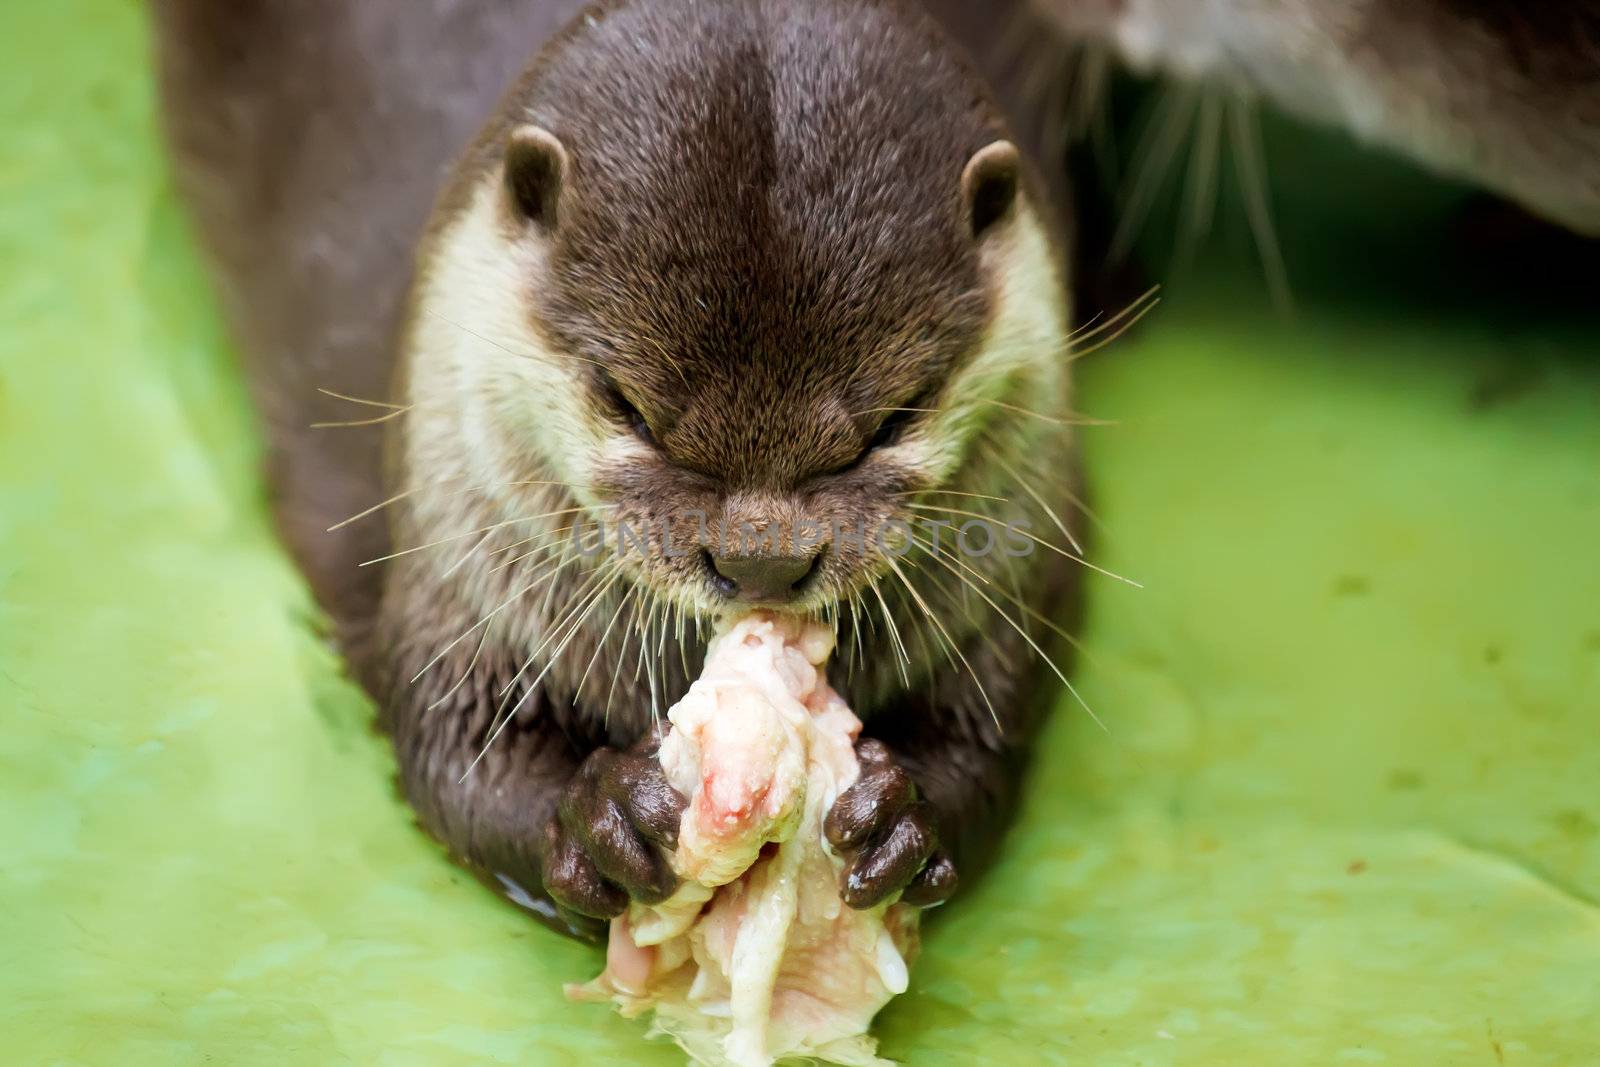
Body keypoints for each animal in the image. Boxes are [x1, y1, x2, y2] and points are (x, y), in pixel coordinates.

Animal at [156, 0, 1088, 934]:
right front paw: (602, 817)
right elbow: (457, 757)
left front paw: (904, 815)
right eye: (628, 405)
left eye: (896, 418)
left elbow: (987, 734)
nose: (762, 560)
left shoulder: (1013, 583)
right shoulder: (454, 589)